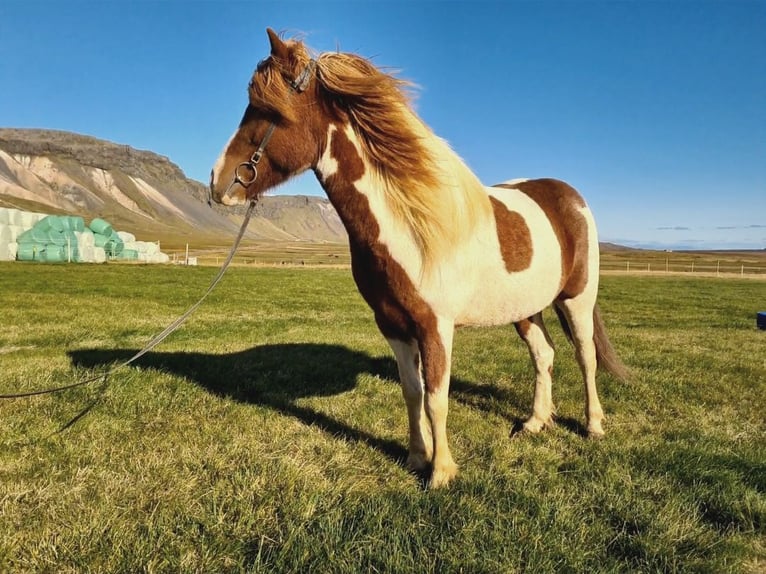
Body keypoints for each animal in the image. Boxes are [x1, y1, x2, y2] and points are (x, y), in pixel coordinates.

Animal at [207, 28, 628, 490]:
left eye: (269, 112)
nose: (218, 183)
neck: (409, 226)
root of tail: (568, 195)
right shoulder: (393, 325)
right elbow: (412, 392)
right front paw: (415, 456)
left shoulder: (434, 327)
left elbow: (437, 399)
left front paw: (441, 471)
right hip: (525, 308)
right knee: (544, 354)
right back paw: (535, 422)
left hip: (577, 300)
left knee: (585, 357)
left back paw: (593, 425)